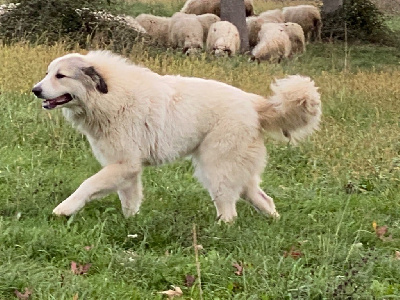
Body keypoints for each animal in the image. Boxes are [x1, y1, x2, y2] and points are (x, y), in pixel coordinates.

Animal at [33, 50, 322, 221]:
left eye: (60, 75)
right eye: (47, 73)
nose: (35, 90)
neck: (109, 94)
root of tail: (254, 104)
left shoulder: (124, 164)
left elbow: (88, 185)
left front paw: (65, 208)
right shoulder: (127, 168)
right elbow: (129, 199)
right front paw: (131, 224)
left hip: (216, 168)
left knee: (229, 211)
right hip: (236, 171)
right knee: (263, 199)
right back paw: (273, 221)